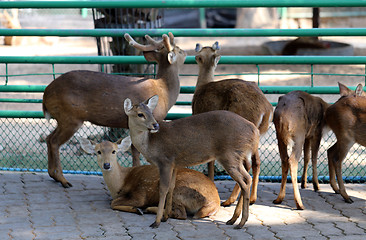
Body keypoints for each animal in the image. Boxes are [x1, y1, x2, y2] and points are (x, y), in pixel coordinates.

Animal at [42, 32, 186, 188]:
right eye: (178, 50)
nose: (186, 51)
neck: (165, 91)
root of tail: (45, 95)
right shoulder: (153, 120)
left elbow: (134, 150)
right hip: (70, 117)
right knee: (54, 141)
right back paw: (63, 179)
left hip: (63, 118)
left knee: (49, 138)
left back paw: (53, 175)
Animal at [77, 137, 220, 219]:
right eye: (98, 152)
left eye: (114, 151)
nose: (107, 165)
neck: (121, 182)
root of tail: (214, 203)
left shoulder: (140, 194)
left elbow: (113, 203)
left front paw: (137, 209)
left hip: (179, 191)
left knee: (181, 214)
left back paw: (150, 209)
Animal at [123, 94, 260, 229]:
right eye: (140, 114)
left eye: (151, 112)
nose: (155, 125)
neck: (150, 144)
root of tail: (255, 130)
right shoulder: (174, 164)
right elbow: (171, 188)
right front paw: (165, 217)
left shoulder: (165, 161)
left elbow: (163, 189)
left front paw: (156, 222)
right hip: (237, 157)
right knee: (247, 179)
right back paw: (233, 220)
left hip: (230, 155)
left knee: (244, 182)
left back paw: (240, 223)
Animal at [193, 41, 274, 206]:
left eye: (198, 56)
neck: (202, 85)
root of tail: (266, 110)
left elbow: (210, 161)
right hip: (255, 136)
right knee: (256, 162)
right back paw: (252, 198)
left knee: (245, 165)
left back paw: (230, 200)